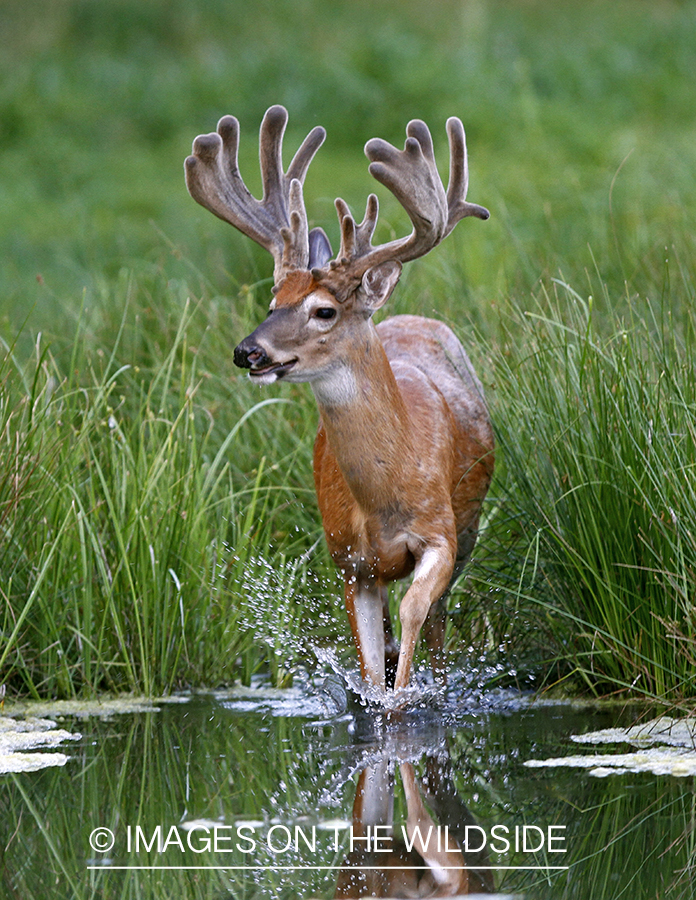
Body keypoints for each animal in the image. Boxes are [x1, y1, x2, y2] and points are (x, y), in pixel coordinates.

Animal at [182, 103, 492, 696]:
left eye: (324, 310)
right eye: (272, 300)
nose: (248, 352)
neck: (387, 494)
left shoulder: (441, 533)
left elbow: (417, 611)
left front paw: (408, 698)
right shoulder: (349, 559)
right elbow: (370, 661)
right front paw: (380, 694)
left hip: (468, 529)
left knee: (438, 623)